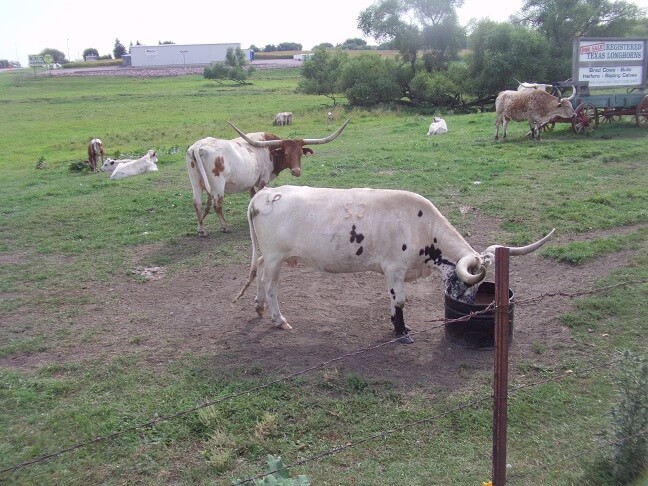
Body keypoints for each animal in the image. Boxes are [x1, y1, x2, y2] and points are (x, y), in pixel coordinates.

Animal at [186, 119, 350, 237]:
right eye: (286, 154)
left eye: (300, 153)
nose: (296, 171)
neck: (270, 151)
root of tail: (199, 146)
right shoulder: (263, 179)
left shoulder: (252, 182)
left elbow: (252, 195)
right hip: (217, 183)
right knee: (217, 204)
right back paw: (225, 227)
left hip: (195, 182)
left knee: (197, 203)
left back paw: (201, 230)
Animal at [235, 184, 556, 344]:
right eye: (465, 285)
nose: (466, 312)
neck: (421, 227)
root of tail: (263, 194)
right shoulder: (394, 270)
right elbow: (400, 301)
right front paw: (401, 332)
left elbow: (393, 302)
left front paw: (396, 324)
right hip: (275, 256)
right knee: (270, 285)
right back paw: (278, 319)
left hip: (269, 256)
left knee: (260, 273)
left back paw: (259, 307)